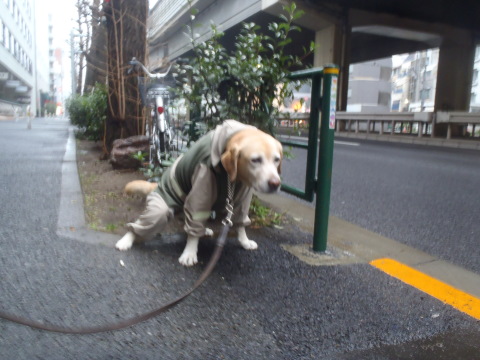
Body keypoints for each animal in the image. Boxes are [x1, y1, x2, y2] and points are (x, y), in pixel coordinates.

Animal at [115, 119, 282, 266]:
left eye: (277, 160)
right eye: (255, 160)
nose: (275, 184)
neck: (232, 176)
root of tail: (159, 183)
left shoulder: (243, 197)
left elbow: (241, 221)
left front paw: (245, 241)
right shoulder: (201, 186)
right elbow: (193, 229)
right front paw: (189, 253)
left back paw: (204, 229)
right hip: (158, 210)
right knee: (141, 225)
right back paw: (126, 240)